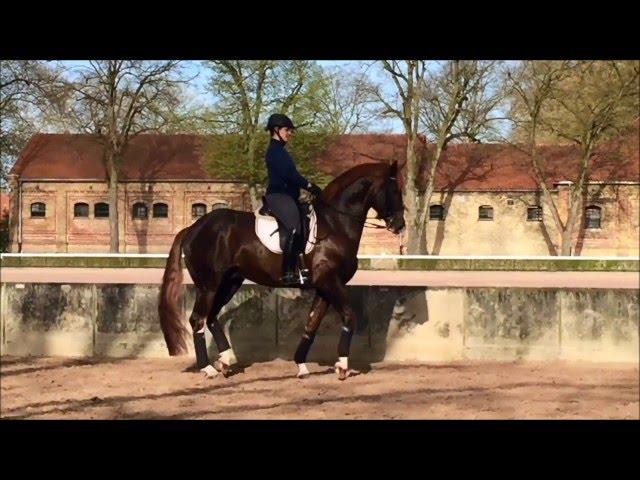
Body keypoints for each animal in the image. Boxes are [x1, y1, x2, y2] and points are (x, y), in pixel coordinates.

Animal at [158, 159, 404, 380]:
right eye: (394, 189)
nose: (400, 225)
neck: (335, 224)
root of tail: (193, 228)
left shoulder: (324, 287)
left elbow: (311, 324)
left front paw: (301, 366)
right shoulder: (330, 282)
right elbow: (349, 316)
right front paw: (342, 366)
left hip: (229, 282)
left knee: (210, 317)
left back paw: (225, 362)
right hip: (209, 285)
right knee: (197, 319)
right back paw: (207, 368)